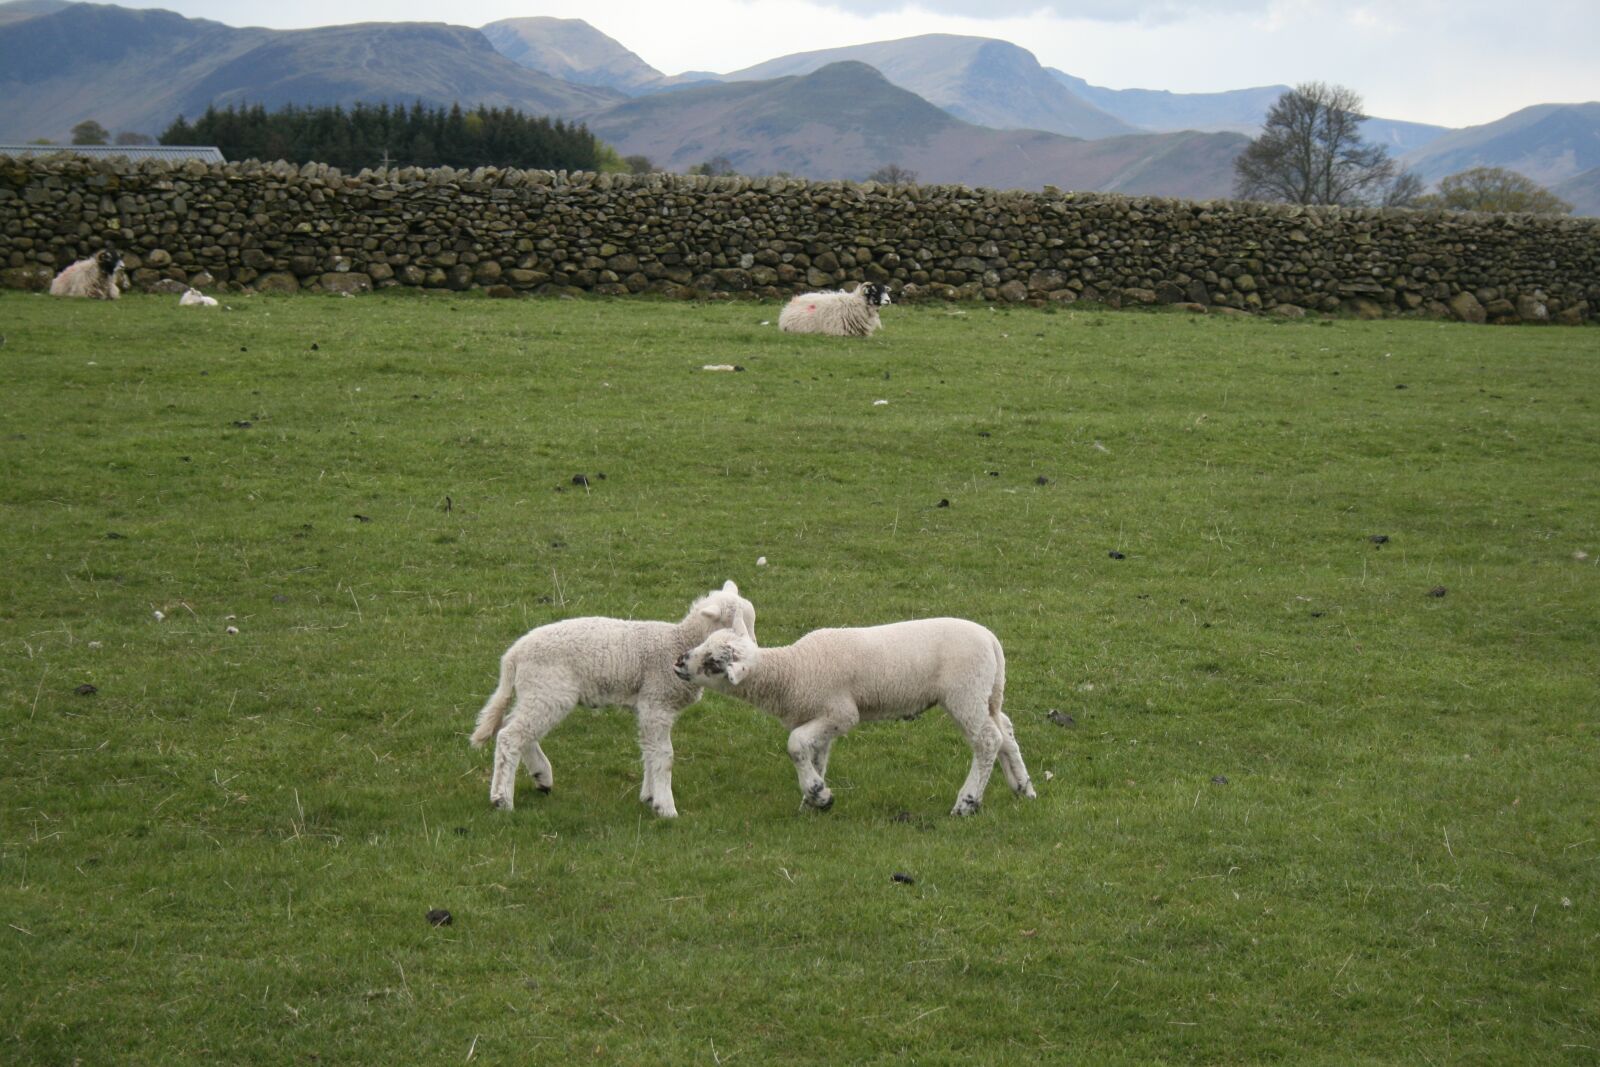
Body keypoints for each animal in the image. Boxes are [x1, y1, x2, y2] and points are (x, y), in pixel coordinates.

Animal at [469, 580, 757, 818]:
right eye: (735, 629)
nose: (755, 654)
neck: (678, 642)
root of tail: (513, 655)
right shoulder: (657, 702)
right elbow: (664, 755)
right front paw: (666, 807)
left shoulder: (647, 705)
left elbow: (649, 751)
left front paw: (650, 797)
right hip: (547, 691)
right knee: (510, 736)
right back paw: (502, 800)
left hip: (536, 692)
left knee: (512, 725)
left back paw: (541, 776)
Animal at [674, 618, 1036, 816]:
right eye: (705, 644)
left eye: (713, 663)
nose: (678, 662)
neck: (792, 671)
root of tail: (991, 640)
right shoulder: (820, 716)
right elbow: (814, 755)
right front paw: (815, 798)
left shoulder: (841, 712)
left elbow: (795, 744)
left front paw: (817, 794)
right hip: (986, 693)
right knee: (1004, 731)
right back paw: (1023, 787)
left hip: (965, 691)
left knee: (987, 740)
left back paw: (967, 803)